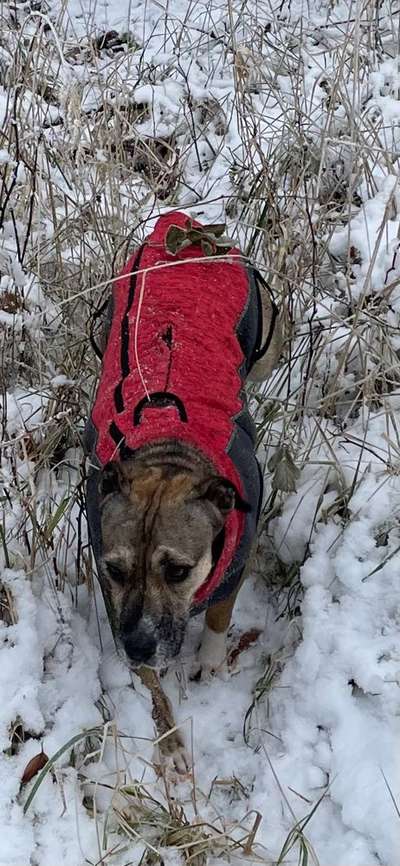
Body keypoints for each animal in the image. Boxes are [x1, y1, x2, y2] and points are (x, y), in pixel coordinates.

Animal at [85, 211, 282, 776]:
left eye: (177, 570)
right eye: (115, 569)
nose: (136, 647)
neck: (167, 448)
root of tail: (188, 231)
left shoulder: (235, 561)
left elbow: (219, 615)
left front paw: (211, 662)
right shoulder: (115, 600)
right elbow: (151, 682)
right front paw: (168, 735)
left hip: (262, 327)